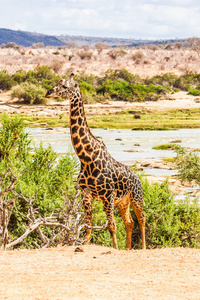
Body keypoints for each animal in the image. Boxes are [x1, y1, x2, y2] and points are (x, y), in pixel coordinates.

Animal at [46, 73, 146, 251]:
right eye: (57, 82)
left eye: (65, 86)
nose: (48, 93)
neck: (86, 158)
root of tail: (138, 178)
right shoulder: (86, 194)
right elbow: (87, 225)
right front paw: (82, 245)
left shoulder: (107, 196)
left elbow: (112, 226)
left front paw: (115, 248)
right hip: (123, 202)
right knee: (129, 222)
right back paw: (128, 248)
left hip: (136, 197)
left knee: (141, 219)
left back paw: (143, 248)